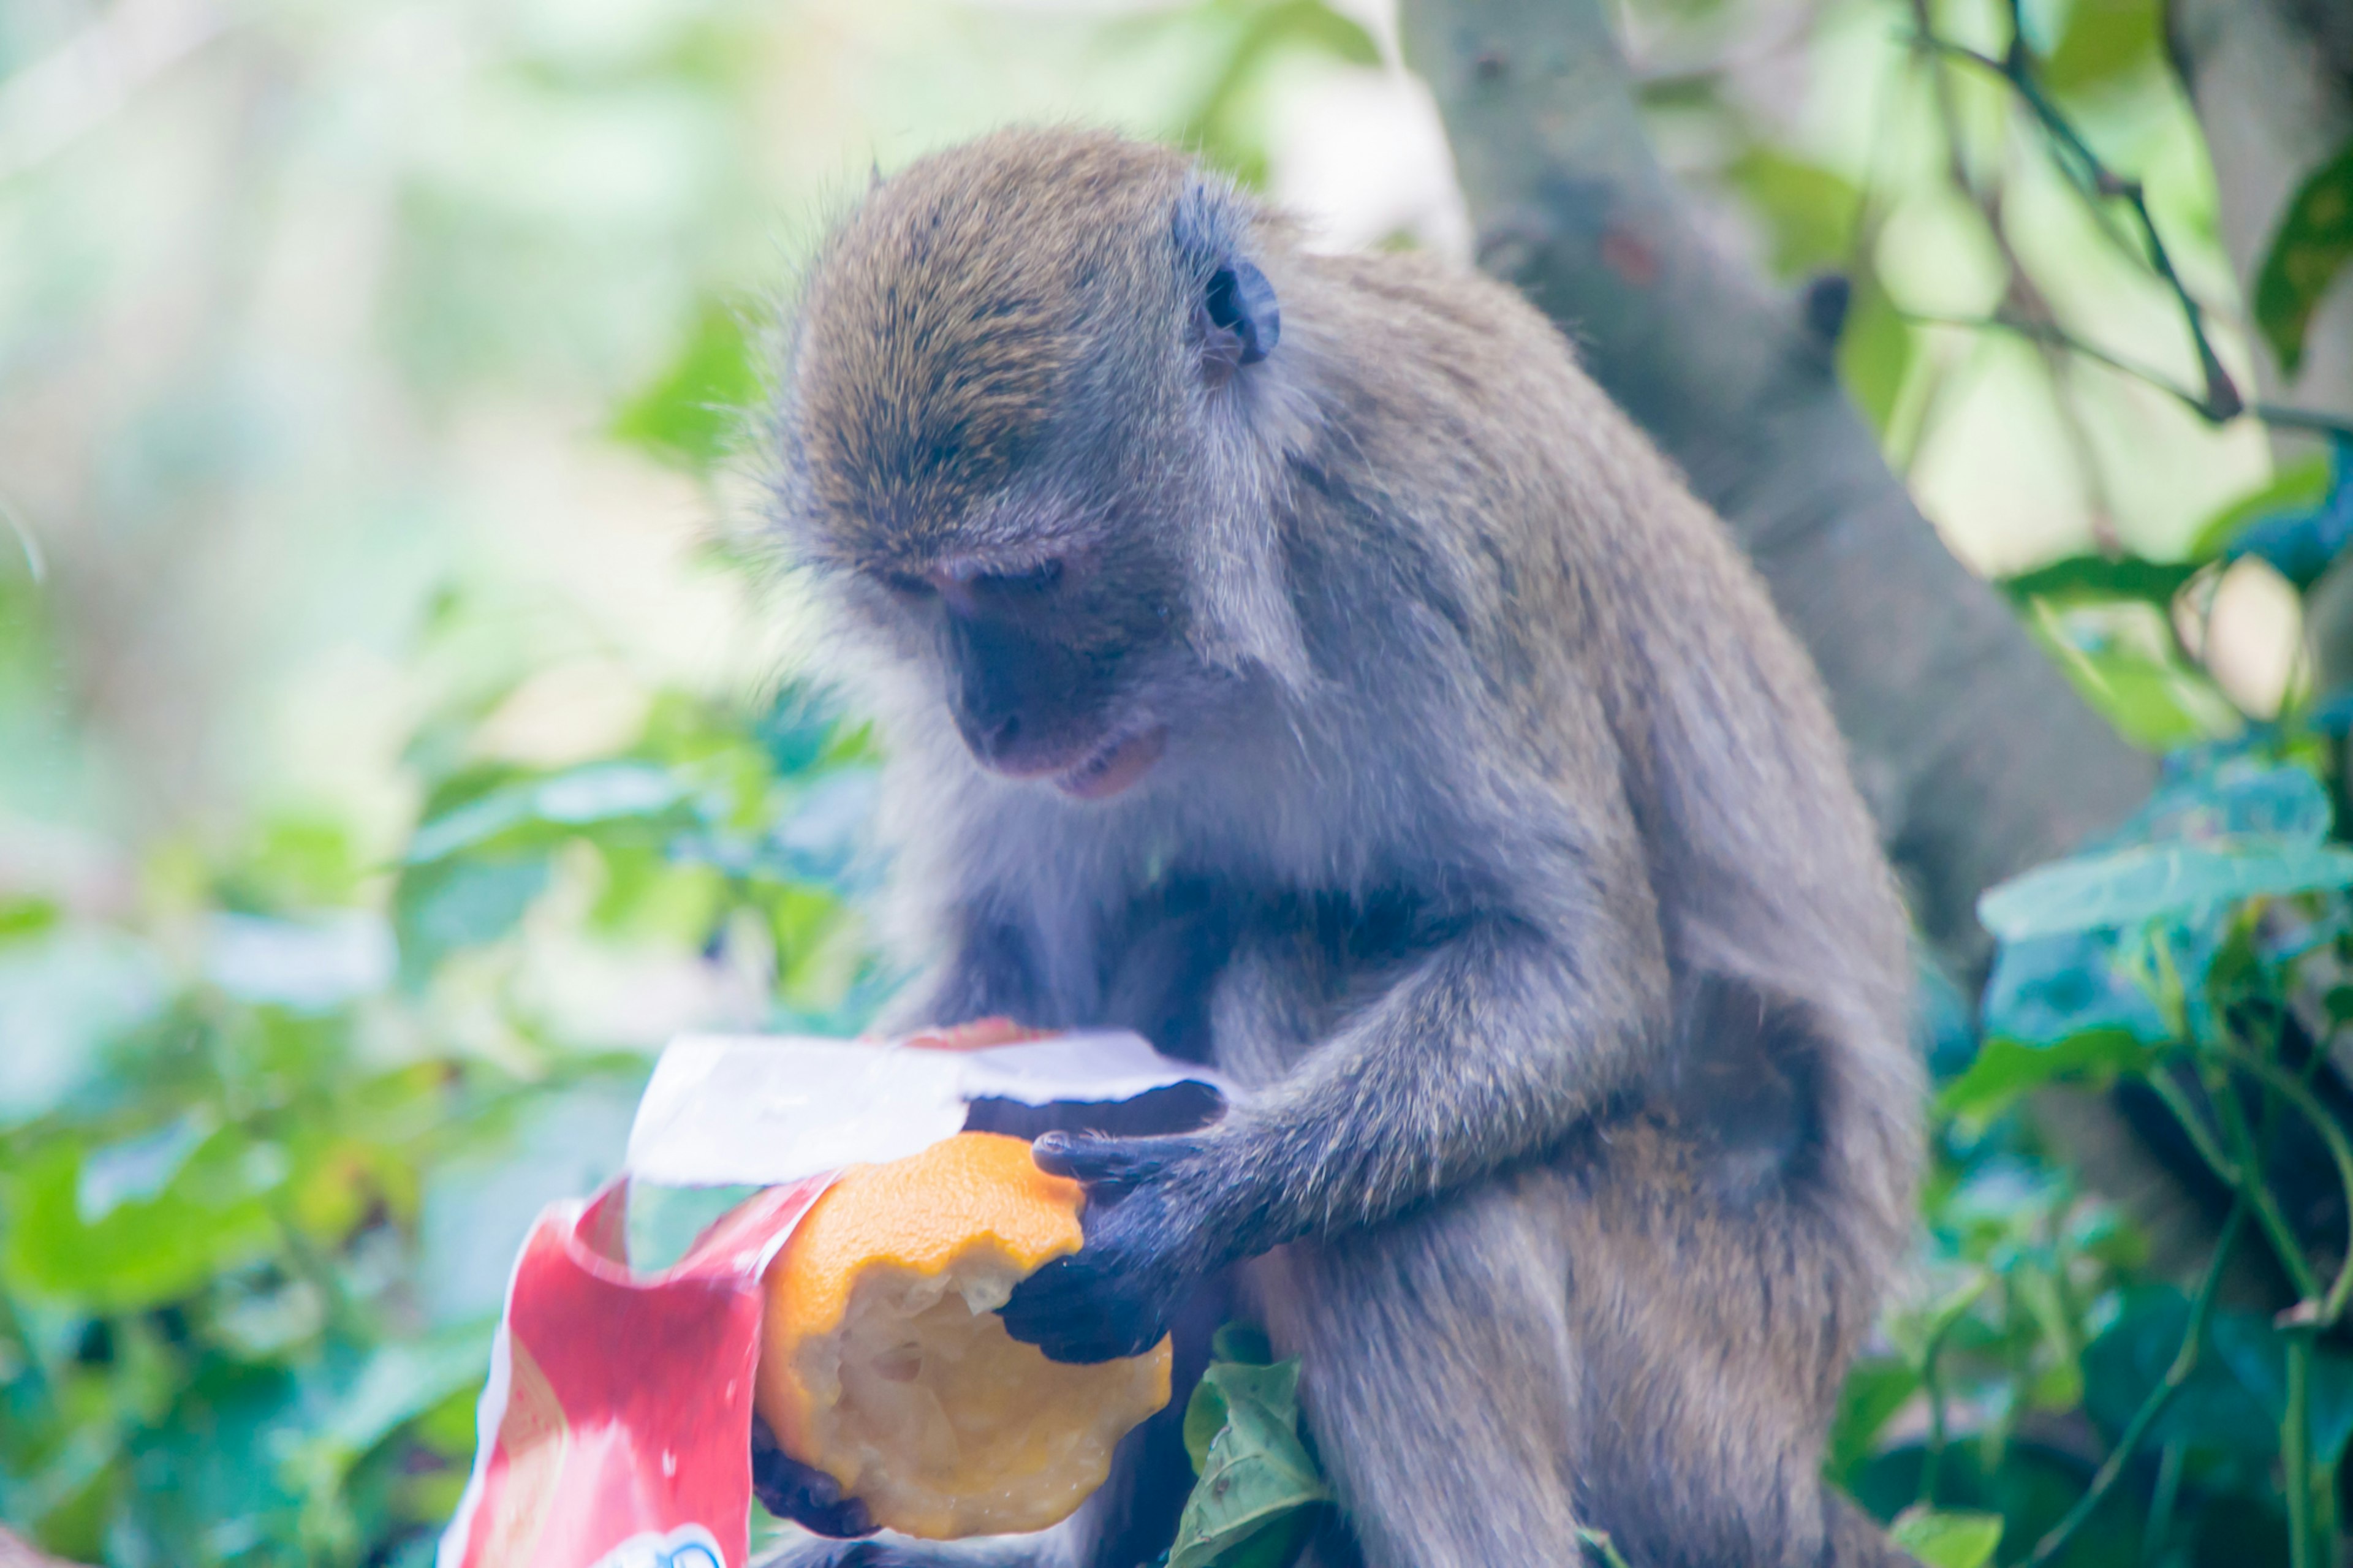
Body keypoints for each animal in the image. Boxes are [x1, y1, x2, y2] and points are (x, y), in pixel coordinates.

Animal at [752, 125, 1929, 1563]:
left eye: (1024, 578)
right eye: (915, 593)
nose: (985, 718)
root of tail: (1802, 1448)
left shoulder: (1440, 541)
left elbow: (1578, 967)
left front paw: (1198, 1200)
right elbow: (1023, 982)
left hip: (1709, 1365)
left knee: (1302, 993)